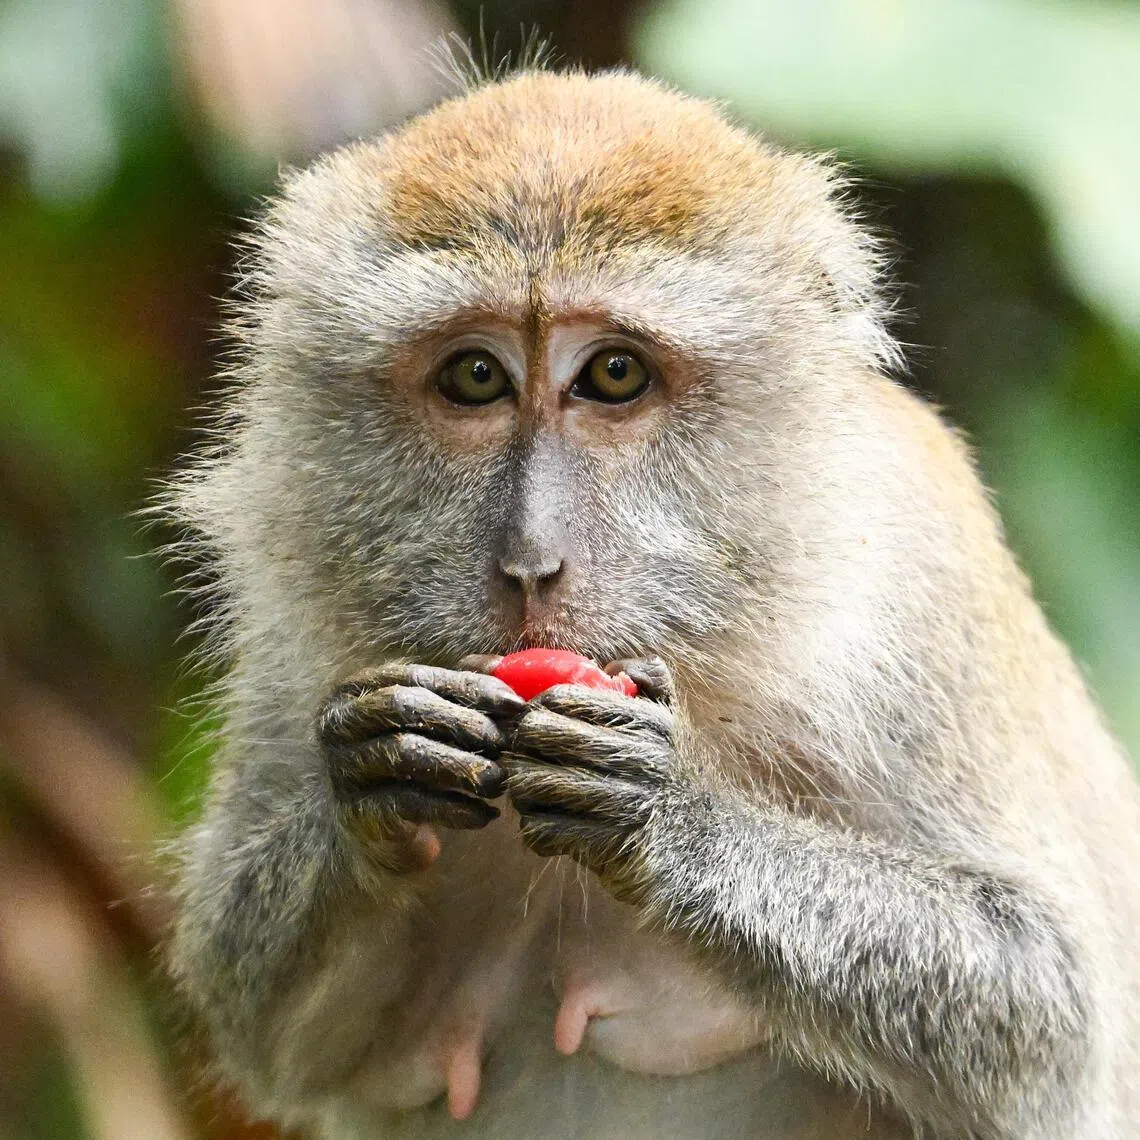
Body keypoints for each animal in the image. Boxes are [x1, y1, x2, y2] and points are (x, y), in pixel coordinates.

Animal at [163, 67, 1140, 1140]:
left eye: (614, 373)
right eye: (476, 376)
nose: (530, 563)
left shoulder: (915, 580)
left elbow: (1043, 1009)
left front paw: (662, 813)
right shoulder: (291, 627)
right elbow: (266, 1029)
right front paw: (377, 768)